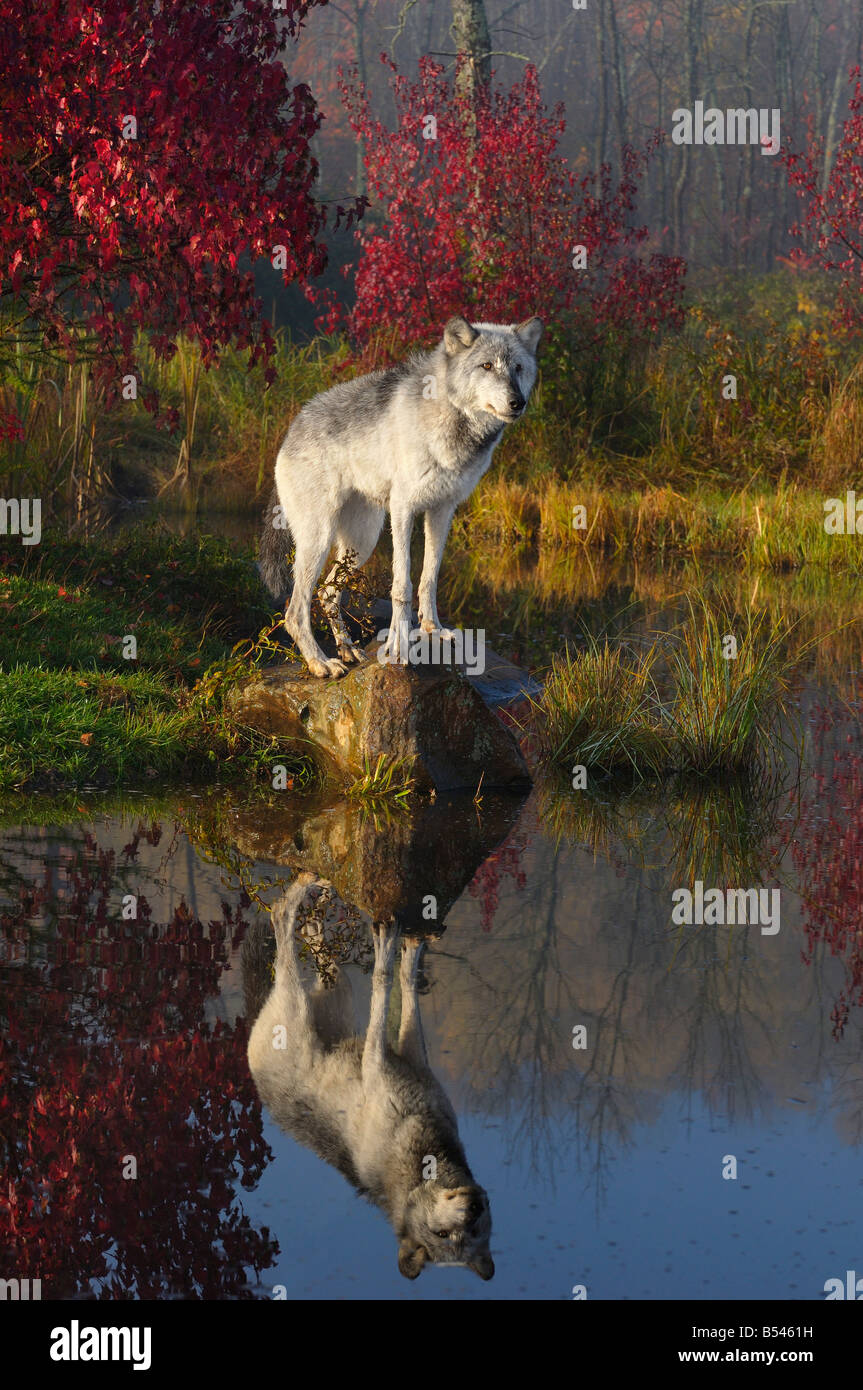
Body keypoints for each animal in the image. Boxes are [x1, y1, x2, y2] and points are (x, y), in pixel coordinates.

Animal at [245, 878, 494, 1278]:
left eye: (472, 1231)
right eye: (442, 1234)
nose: (473, 1207)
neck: (423, 1144)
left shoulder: (409, 1058)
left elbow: (399, 981)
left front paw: (404, 946)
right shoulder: (383, 1059)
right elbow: (388, 978)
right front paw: (397, 945)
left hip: (337, 990)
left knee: (312, 942)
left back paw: (316, 911)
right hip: (299, 1001)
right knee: (282, 918)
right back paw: (308, 890)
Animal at [257, 316, 539, 683]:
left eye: (518, 368)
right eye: (487, 366)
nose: (518, 402)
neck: (452, 419)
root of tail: (291, 429)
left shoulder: (443, 509)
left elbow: (429, 576)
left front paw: (433, 629)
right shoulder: (403, 508)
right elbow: (401, 585)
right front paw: (398, 647)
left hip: (361, 542)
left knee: (327, 593)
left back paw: (348, 650)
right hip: (319, 540)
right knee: (295, 611)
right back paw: (321, 663)